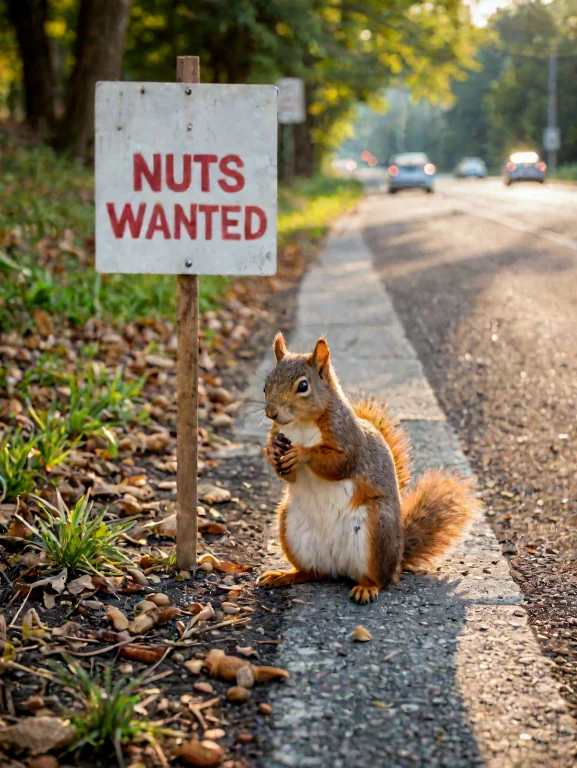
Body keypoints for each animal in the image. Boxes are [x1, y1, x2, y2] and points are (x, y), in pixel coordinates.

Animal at [258, 332, 481, 604]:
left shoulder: (349, 441)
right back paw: (285, 575)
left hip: (376, 531)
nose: (271, 413)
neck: (300, 425)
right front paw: (272, 453)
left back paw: (366, 588)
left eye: (302, 386)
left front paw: (302, 453)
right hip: (292, 530)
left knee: (378, 578)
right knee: (312, 572)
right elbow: (286, 474)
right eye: (265, 384)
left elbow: (338, 465)